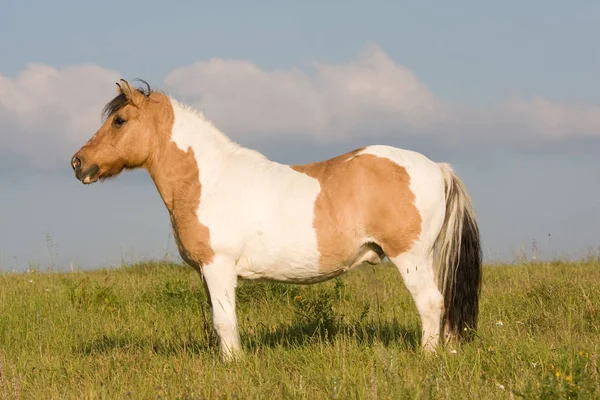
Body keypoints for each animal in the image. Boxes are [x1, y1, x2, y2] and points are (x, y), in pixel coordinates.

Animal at [71, 78, 482, 360]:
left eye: (120, 120)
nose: (78, 163)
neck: (209, 179)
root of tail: (436, 167)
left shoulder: (218, 266)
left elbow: (225, 322)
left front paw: (233, 365)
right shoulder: (206, 272)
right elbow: (218, 321)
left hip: (411, 257)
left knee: (430, 303)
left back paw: (428, 356)